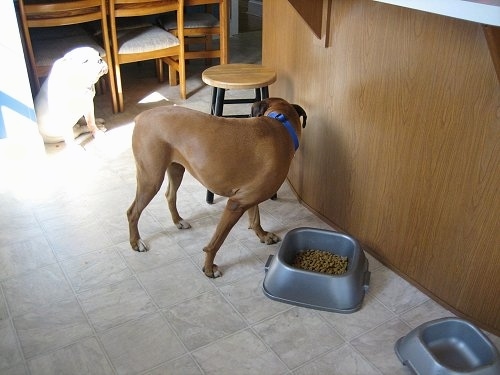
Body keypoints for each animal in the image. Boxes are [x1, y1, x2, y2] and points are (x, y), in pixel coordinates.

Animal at [127, 98, 306, 278]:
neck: (281, 126)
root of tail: (141, 116)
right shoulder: (236, 204)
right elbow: (216, 242)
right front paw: (208, 268)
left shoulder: (249, 197)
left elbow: (255, 217)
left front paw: (262, 235)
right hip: (151, 179)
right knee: (132, 212)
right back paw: (136, 243)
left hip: (176, 169)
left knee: (170, 195)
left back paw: (178, 221)